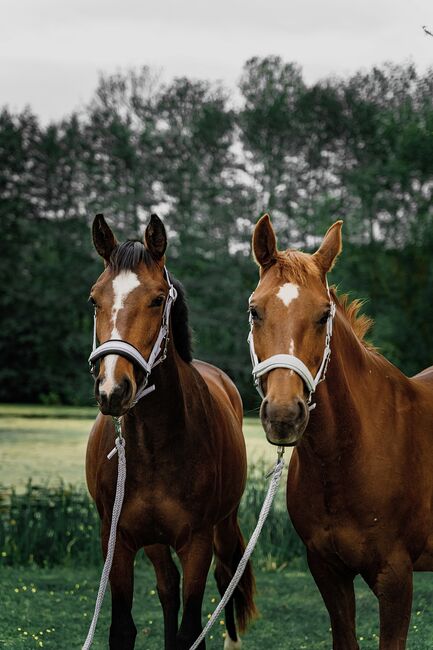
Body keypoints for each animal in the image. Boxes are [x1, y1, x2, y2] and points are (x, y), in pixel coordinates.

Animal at [85, 210, 255, 644]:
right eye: (94, 299)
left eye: (157, 299)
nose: (113, 389)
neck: (153, 447)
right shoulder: (118, 541)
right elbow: (123, 628)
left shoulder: (197, 542)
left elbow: (191, 628)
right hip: (156, 542)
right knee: (167, 588)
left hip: (224, 526)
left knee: (226, 577)